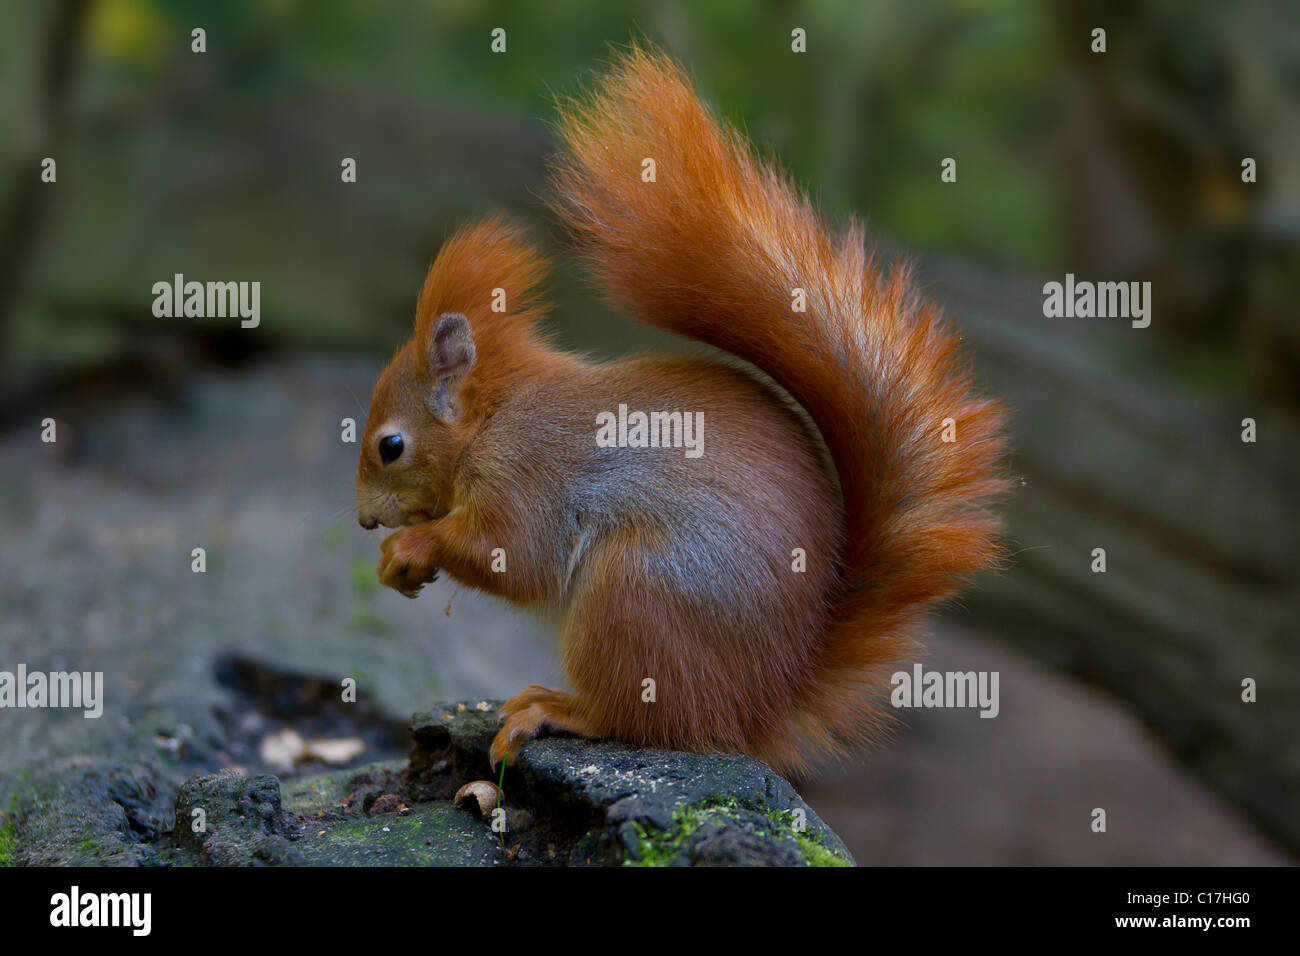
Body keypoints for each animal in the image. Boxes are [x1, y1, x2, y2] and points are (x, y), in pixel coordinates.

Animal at [358, 46, 1013, 780]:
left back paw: (558, 708)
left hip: (636, 591)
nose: (363, 520)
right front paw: (397, 564)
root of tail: (758, 708)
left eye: (390, 446)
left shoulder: (529, 476)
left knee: (647, 721)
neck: (494, 418)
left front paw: (410, 546)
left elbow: (515, 555)